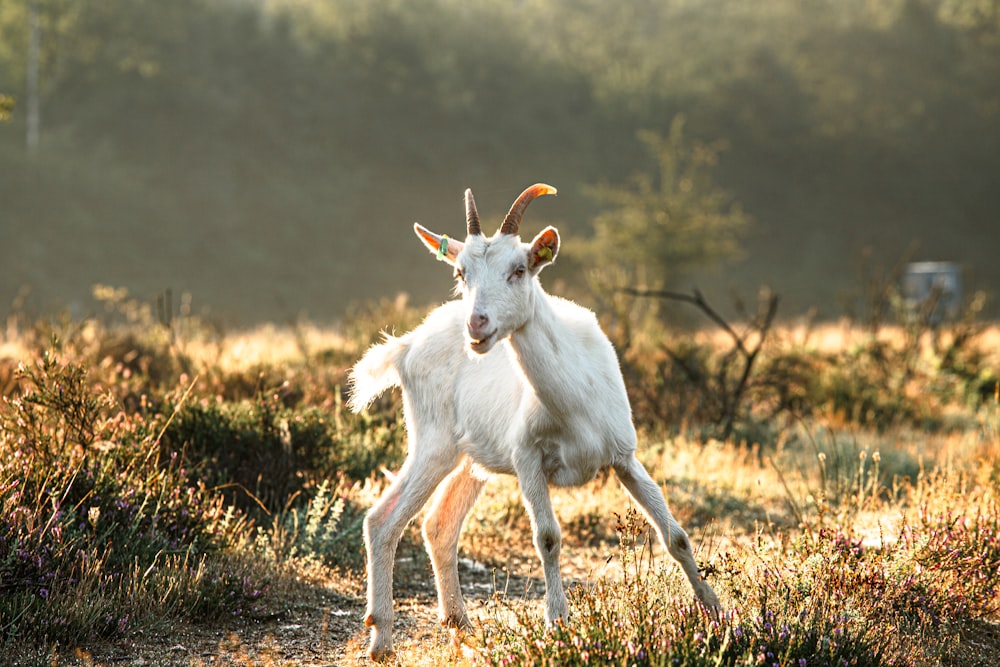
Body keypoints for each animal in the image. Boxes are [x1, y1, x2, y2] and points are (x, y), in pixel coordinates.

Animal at [350, 184, 720, 664]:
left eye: (519, 269)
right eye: (461, 272)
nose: (477, 324)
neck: (575, 402)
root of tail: (408, 344)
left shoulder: (624, 455)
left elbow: (675, 534)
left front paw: (715, 613)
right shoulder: (527, 458)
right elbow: (548, 537)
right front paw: (558, 623)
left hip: (471, 460)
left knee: (439, 524)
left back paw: (460, 624)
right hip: (432, 445)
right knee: (383, 520)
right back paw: (381, 637)